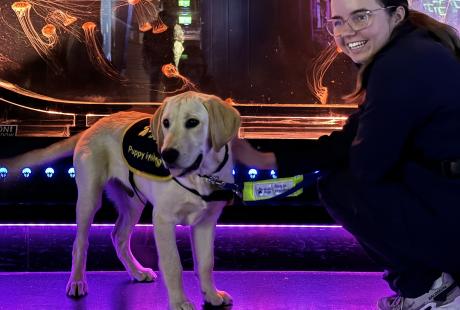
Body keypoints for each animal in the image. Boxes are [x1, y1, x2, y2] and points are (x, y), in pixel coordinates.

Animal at [1, 91, 241, 308]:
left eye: (192, 123)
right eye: (166, 123)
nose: (167, 154)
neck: (200, 176)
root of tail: (94, 125)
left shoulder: (207, 222)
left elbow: (206, 263)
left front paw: (211, 295)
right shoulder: (163, 220)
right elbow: (173, 263)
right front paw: (179, 301)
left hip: (133, 203)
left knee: (119, 236)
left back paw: (137, 271)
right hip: (89, 199)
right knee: (81, 243)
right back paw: (77, 281)